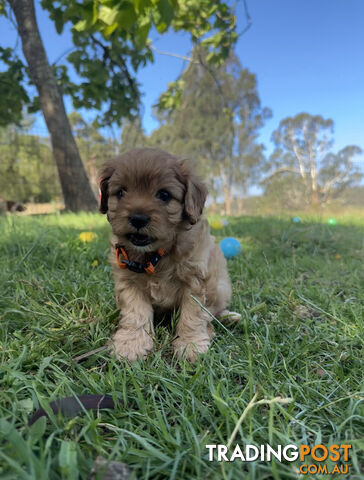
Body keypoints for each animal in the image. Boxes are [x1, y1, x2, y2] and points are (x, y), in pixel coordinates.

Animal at [99, 148, 239, 362]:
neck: (156, 255)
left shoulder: (196, 280)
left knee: (215, 310)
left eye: (164, 195)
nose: (138, 219)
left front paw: (190, 345)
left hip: (221, 287)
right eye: (121, 192)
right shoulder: (128, 282)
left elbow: (193, 315)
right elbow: (135, 313)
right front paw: (130, 344)